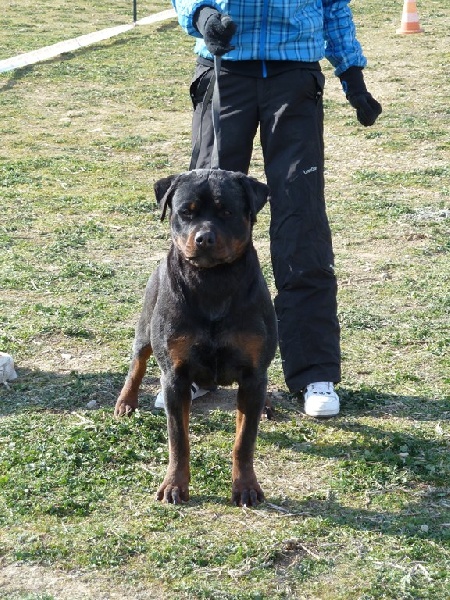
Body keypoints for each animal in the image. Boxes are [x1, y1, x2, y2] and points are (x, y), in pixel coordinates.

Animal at [115, 168, 278, 506]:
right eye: (185, 212)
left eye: (226, 212)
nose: (204, 238)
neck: (212, 281)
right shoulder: (175, 376)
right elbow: (179, 439)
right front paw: (174, 485)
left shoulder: (253, 373)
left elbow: (245, 440)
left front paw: (246, 486)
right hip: (146, 327)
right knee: (138, 361)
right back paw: (126, 401)